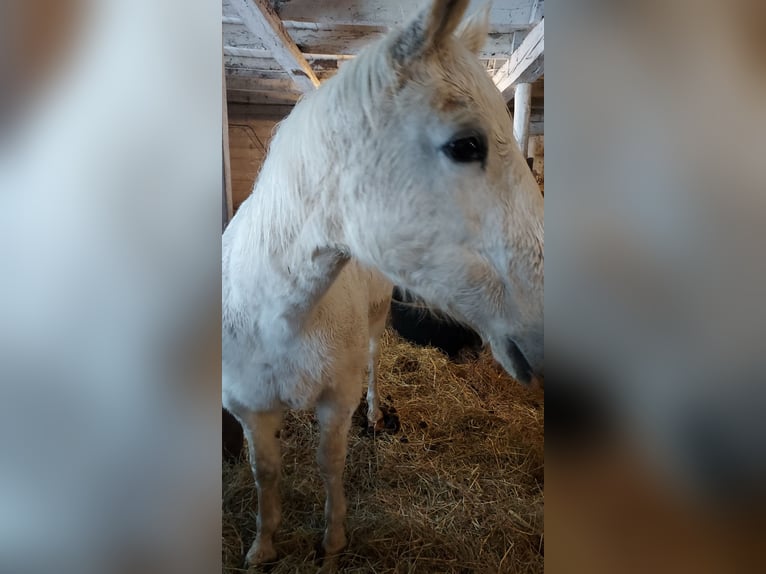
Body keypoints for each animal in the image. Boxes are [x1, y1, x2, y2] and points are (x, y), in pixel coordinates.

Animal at [222, 0, 544, 565]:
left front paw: (333, 541)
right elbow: (266, 473)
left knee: (374, 364)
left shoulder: (336, 398)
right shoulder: (249, 409)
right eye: (466, 144)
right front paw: (263, 545)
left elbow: (330, 464)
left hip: (373, 328)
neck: (275, 314)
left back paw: (374, 414)